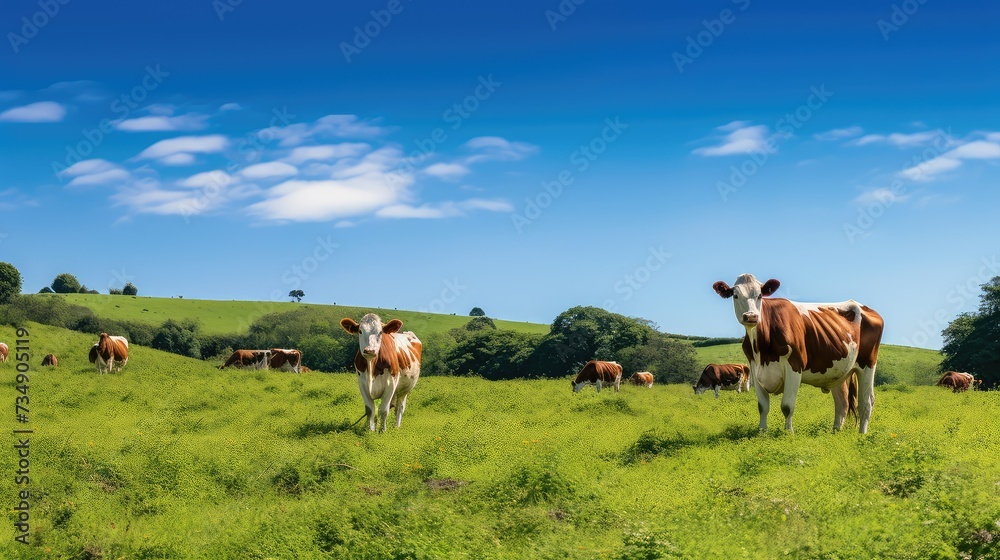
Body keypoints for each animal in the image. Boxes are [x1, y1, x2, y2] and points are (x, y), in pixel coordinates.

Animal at [712, 274, 884, 434]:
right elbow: (763, 406)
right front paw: (762, 432)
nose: (751, 316)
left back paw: (862, 434)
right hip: (838, 370)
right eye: (735, 295)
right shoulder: (754, 368)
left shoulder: (794, 366)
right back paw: (835, 432)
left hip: (868, 364)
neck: (762, 350)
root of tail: (862, 306)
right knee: (842, 403)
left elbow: (787, 406)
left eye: (760, 295)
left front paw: (788, 433)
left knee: (866, 402)